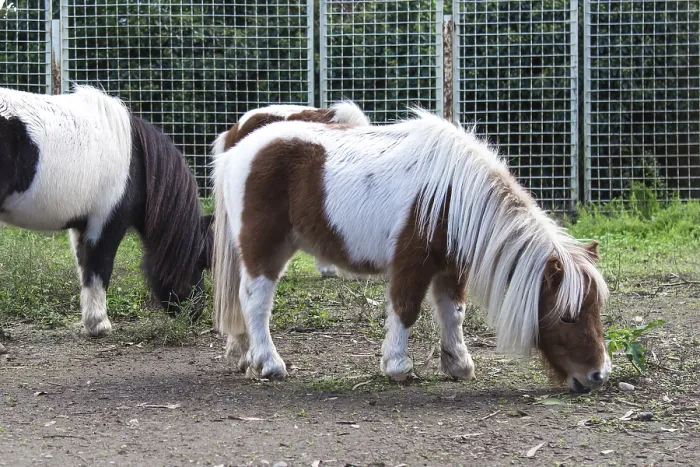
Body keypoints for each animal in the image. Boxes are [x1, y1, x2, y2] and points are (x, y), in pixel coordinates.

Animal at [0, 85, 213, 336]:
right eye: (201, 261)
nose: (195, 312)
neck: (137, 163)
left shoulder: (82, 226)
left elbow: (84, 268)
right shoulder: (106, 224)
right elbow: (99, 268)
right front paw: (99, 323)